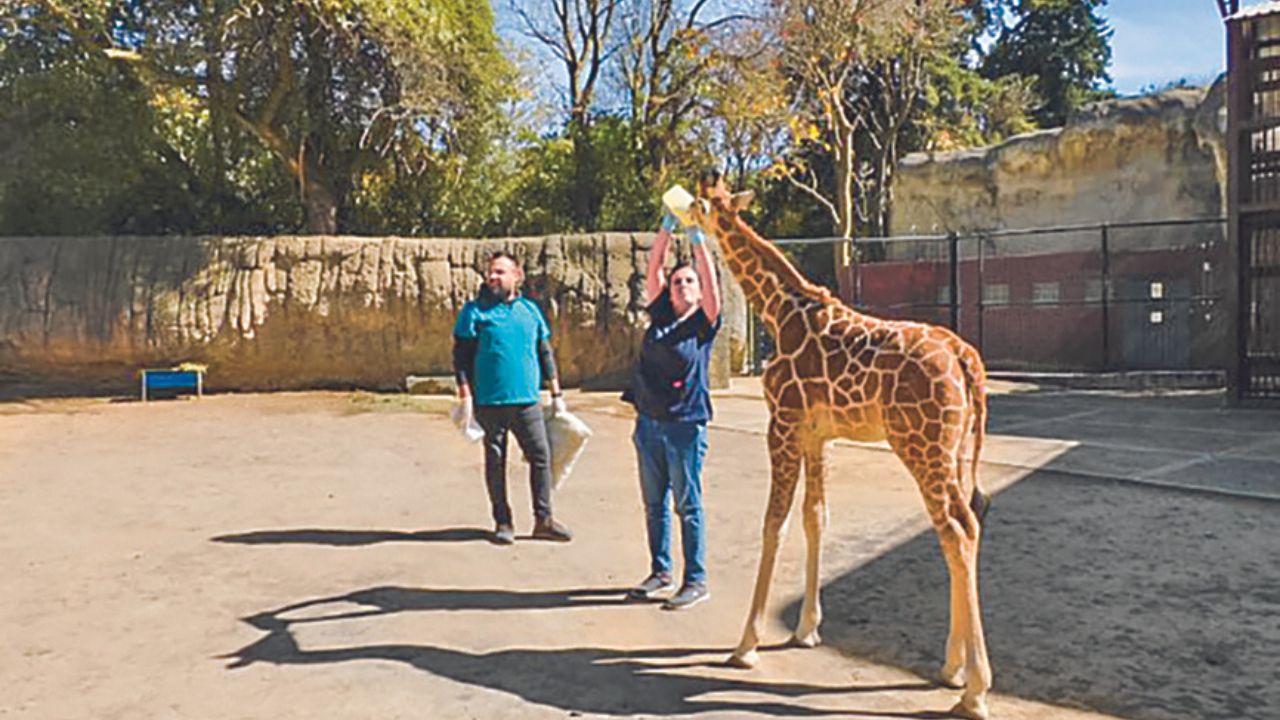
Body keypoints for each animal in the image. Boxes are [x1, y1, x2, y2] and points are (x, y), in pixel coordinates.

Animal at [691, 175, 988, 717]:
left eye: (702, 204)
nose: (682, 215)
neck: (777, 311)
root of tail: (964, 358)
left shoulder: (782, 423)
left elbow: (774, 523)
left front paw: (746, 645)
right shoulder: (817, 434)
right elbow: (816, 516)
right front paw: (807, 630)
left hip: (921, 447)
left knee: (955, 531)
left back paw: (974, 691)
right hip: (952, 452)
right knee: (968, 525)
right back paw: (952, 668)